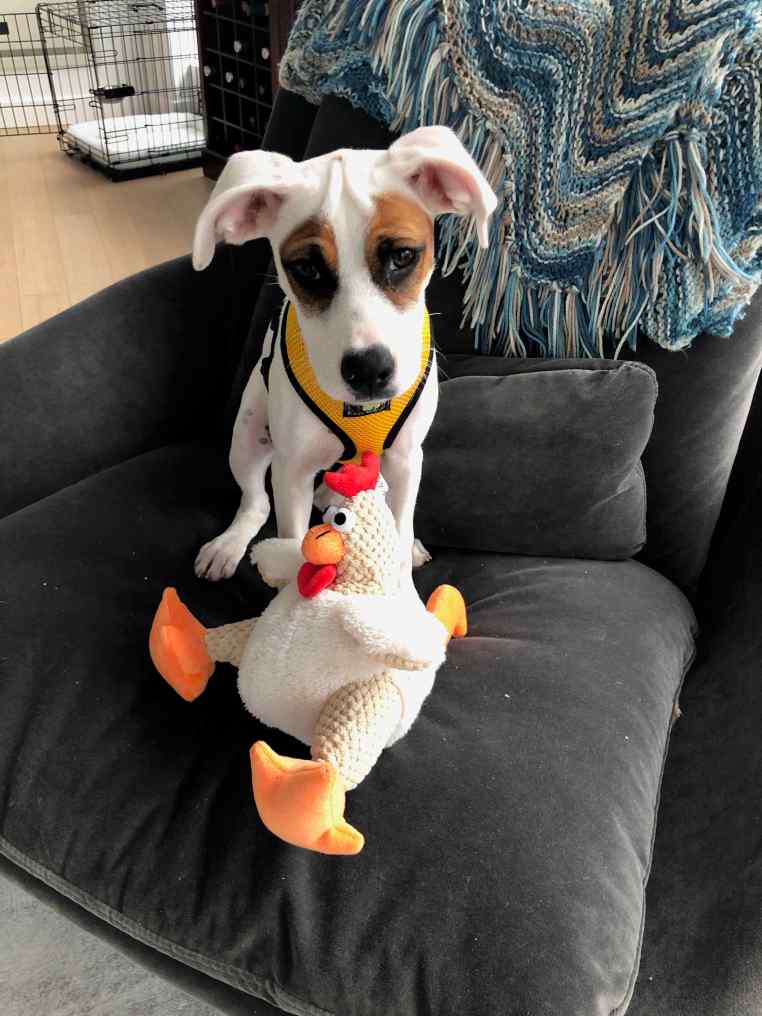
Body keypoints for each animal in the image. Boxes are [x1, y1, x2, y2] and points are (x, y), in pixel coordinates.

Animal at [191, 125, 497, 585]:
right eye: (307, 269)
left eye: (402, 256)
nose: (369, 370)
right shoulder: (293, 472)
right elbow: (294, 546)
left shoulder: (406, 459)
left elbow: (398, 535)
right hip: (247, 434)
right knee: (256, 501)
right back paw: (229, 544)